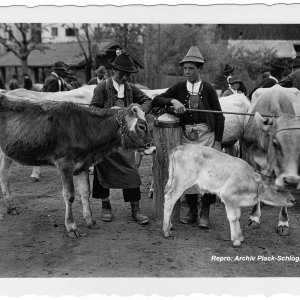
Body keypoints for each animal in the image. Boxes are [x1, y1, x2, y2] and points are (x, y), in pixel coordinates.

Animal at [0, 94, 152, 237]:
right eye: (141, 126)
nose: (152, 147)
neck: (82, 128)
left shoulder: (83, 164)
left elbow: (85, 192)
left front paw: (90, 220)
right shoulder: (65, 163)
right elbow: (69, 195)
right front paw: (71, 226)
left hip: (6, 153)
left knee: (4, 176)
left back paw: (11, 207)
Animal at [163, 145, 294, 246]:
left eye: (286, 186)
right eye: (277, 189)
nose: (293, 200)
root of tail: (181, 147)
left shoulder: (237, 201)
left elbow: (238, 217)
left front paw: (240, 237)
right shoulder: (227, 195)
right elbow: (233, 218)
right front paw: (236, 240)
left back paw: (170, 226)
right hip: (182, 181)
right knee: (169, 199)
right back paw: (166, 231)